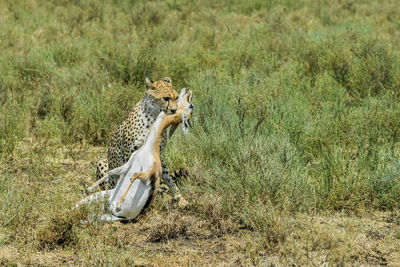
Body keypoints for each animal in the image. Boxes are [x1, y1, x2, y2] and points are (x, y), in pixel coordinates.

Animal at [95, 77, 188, 207]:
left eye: (177, 97)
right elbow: (125, 176)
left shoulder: (157, 154)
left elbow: (169, 178)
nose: (174, 110)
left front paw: (180, 199)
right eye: (166, 98)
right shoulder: (128, 154)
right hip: (102, 162)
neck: (154, 116)